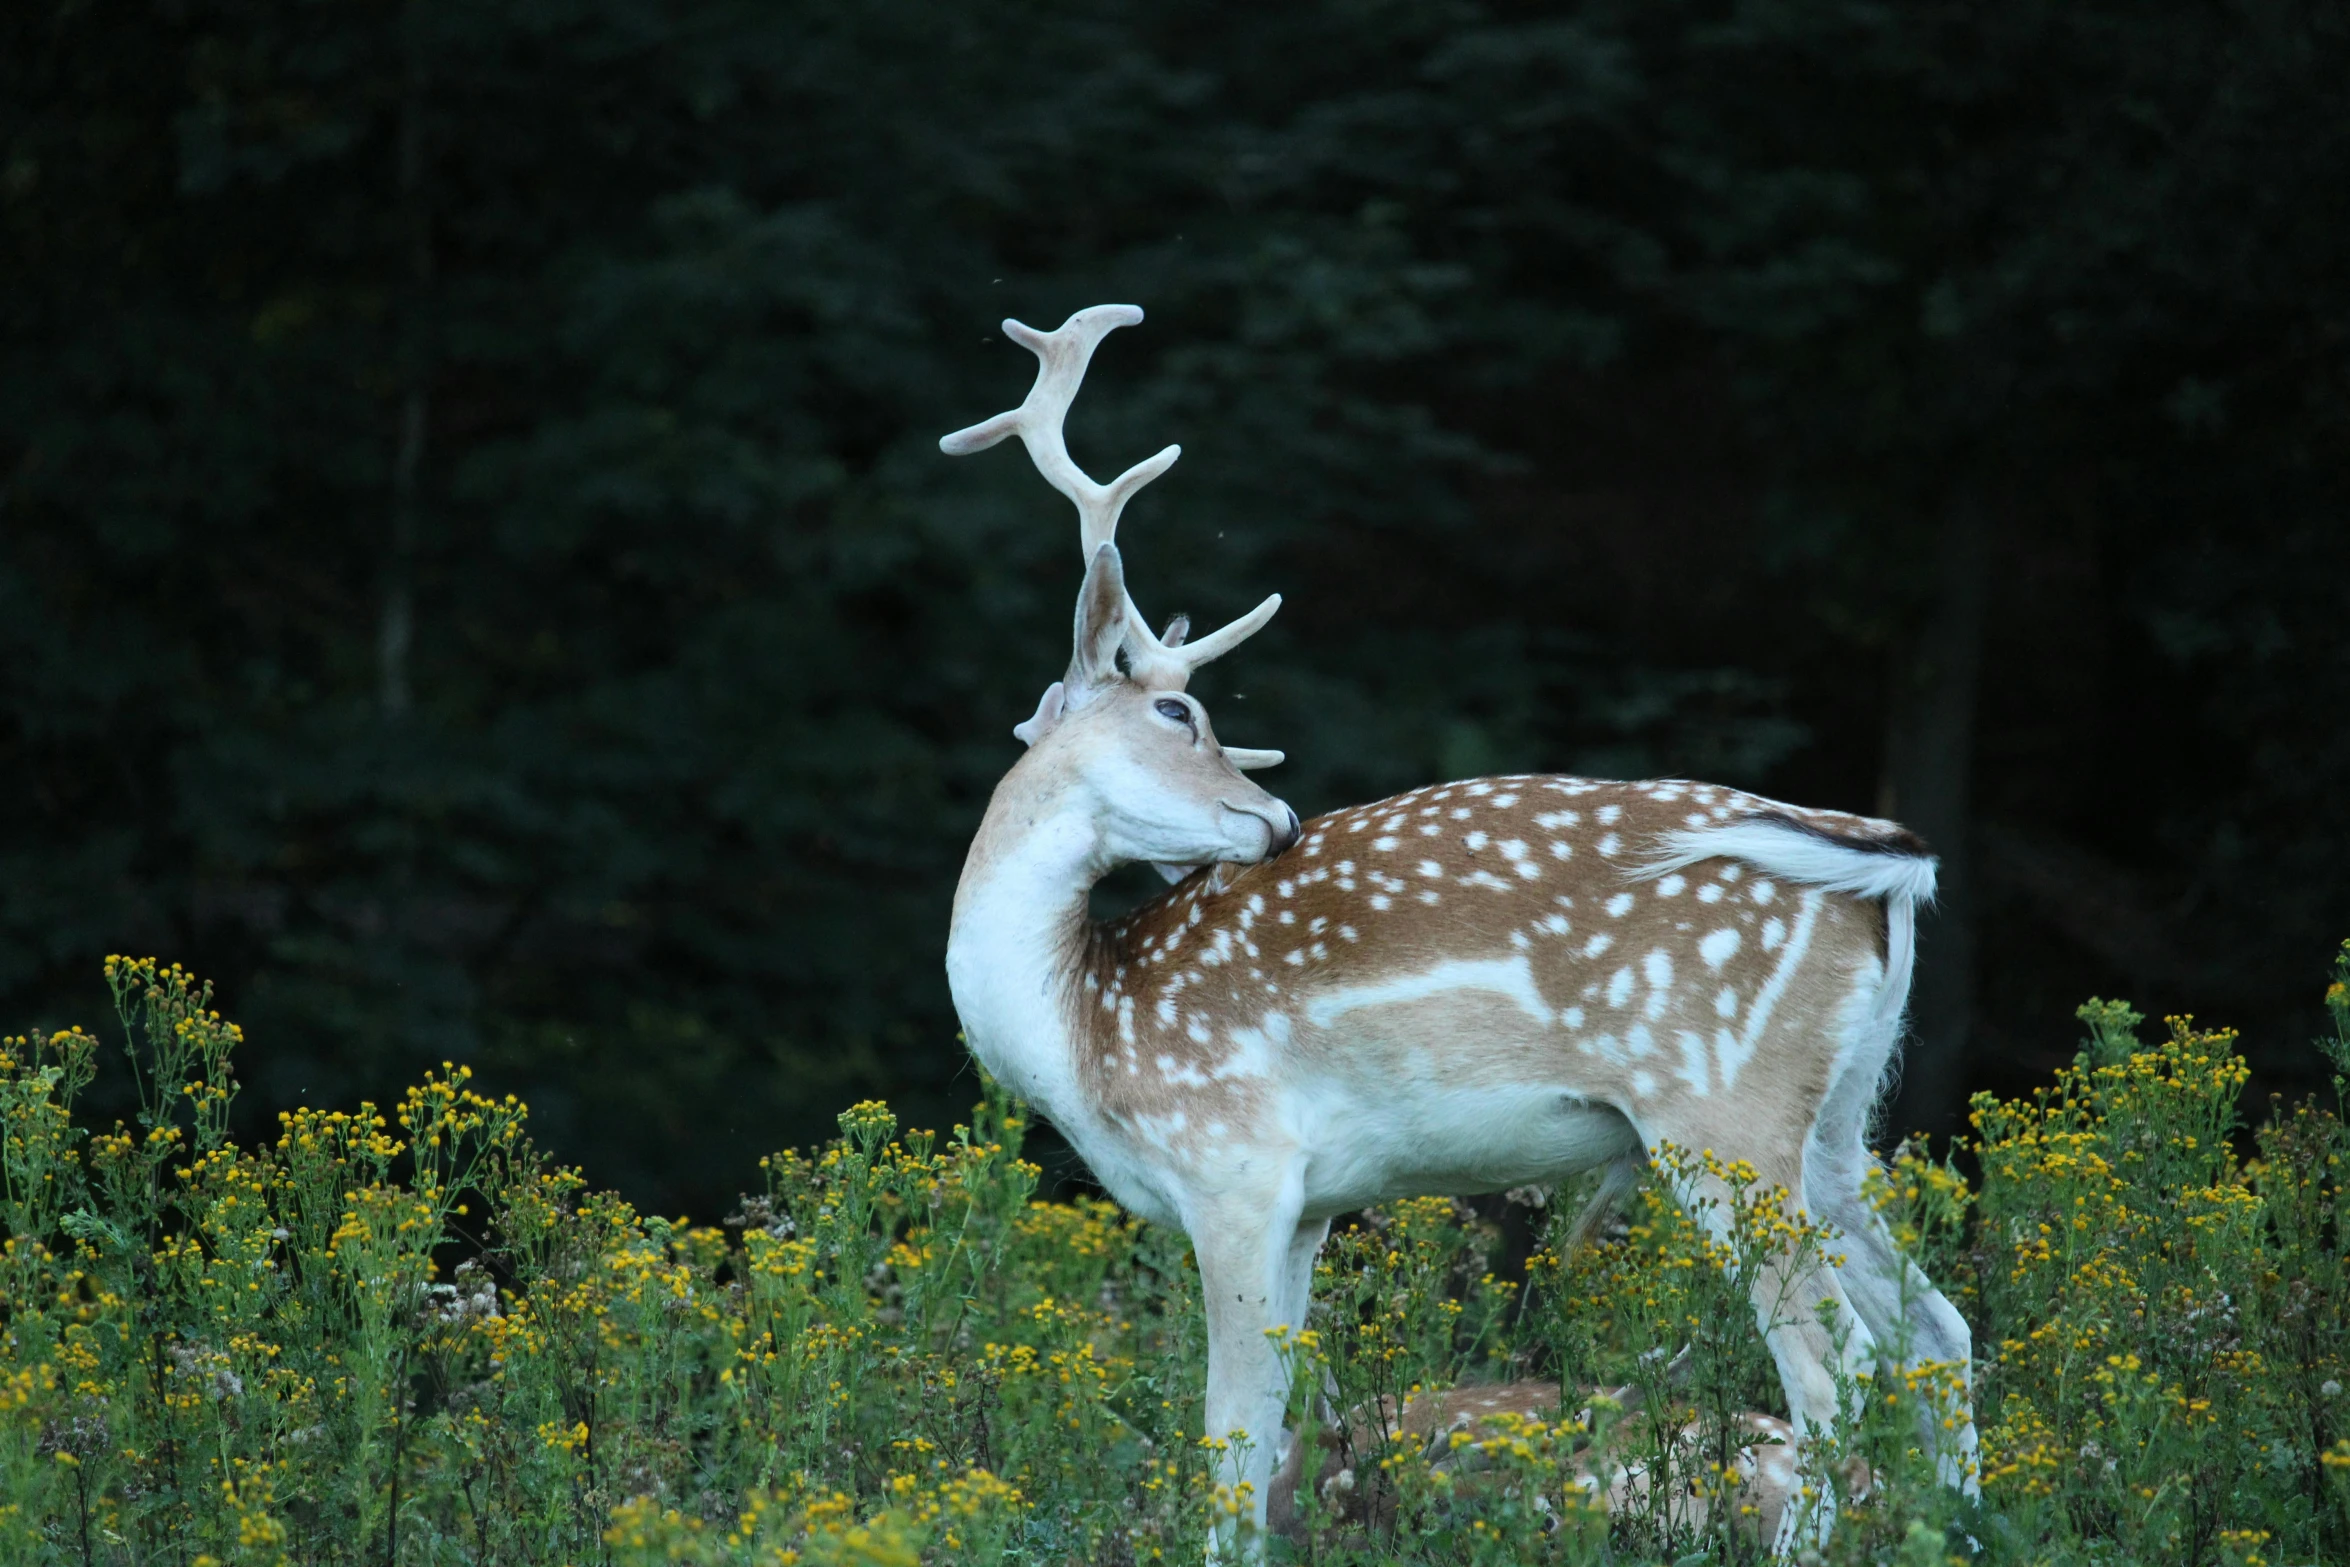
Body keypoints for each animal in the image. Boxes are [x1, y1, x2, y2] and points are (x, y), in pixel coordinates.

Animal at [935, 305, 1983, 1559]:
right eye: (1177, 709)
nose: (1277, 819)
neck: (1082, 1028)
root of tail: (1879, 850)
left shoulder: (1234, 1165)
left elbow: (1229, 1446)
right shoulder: (1309, 1206)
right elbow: (1275, 1432)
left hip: (1720, 1109)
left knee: (1837, 1370)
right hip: (1834, 1124)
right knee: (1938, 1334)